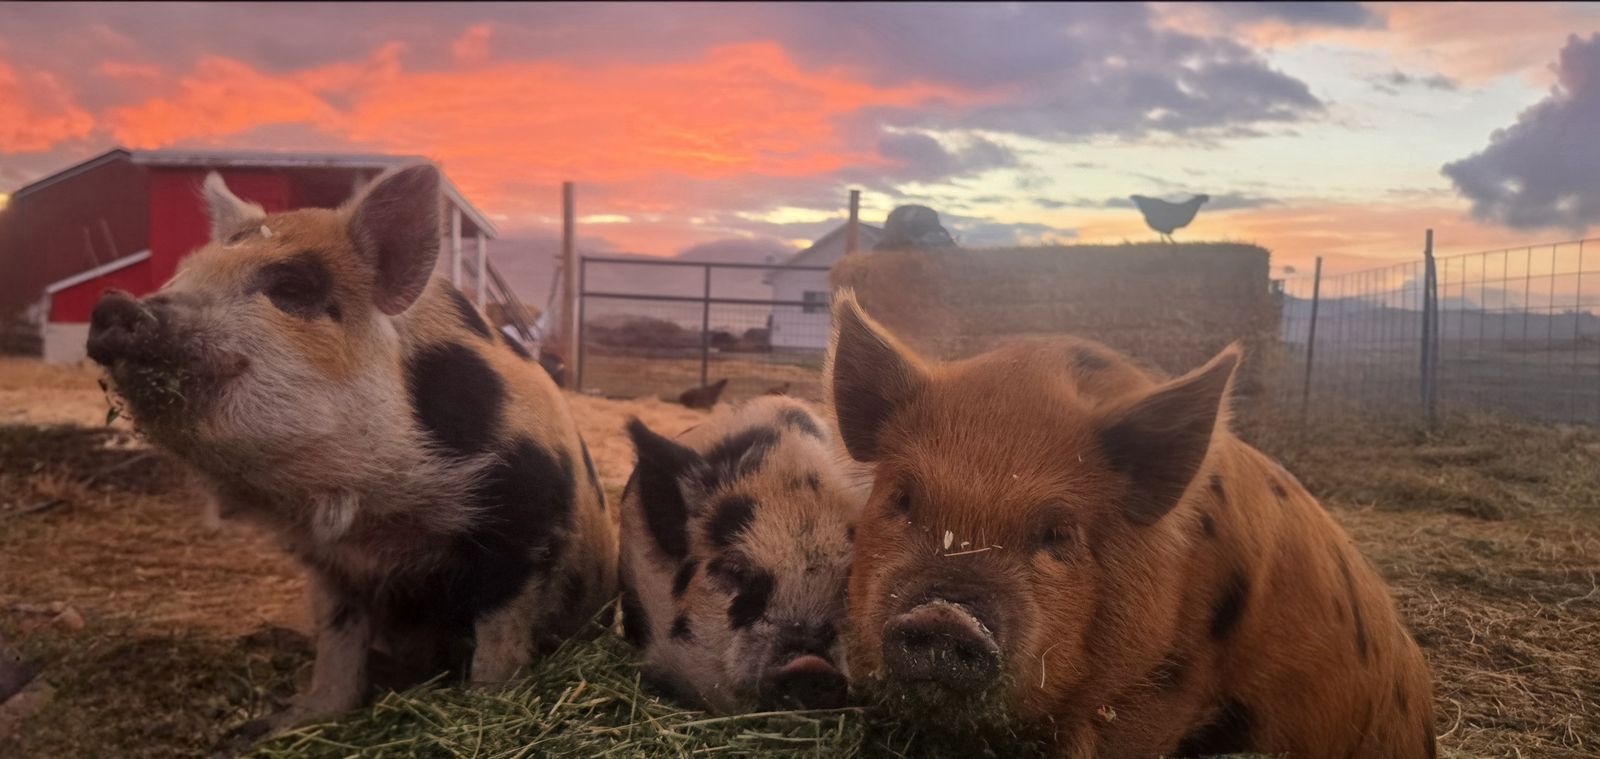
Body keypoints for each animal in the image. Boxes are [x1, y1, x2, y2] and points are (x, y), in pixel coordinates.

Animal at [85, 166, 616, 725]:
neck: (367, 508)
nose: (114, 304)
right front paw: (291, 723)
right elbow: (338, 642)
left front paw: (485, 705)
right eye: (185, 271)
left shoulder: (523, 520)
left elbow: (500, 639)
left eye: (292, 286)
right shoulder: (330, 562)